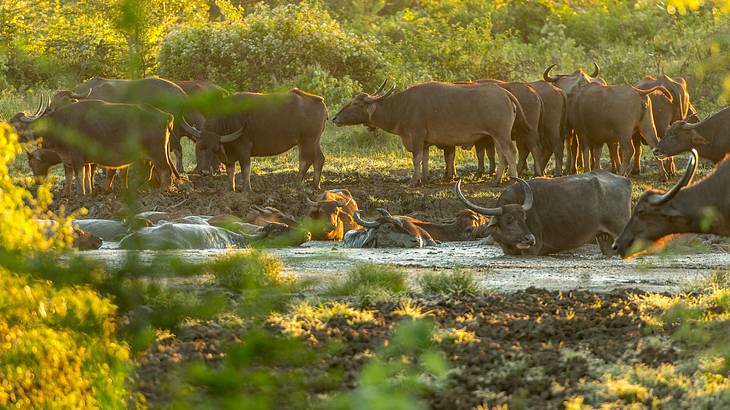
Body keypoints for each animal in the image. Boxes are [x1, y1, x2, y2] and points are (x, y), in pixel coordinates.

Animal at [11, 99, 178, 195]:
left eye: (16, 125)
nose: (37, 182)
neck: (61, 123)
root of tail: (166, 116)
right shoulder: (82, 160)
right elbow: (80, 176)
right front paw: (79, 193)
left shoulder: (77, 156)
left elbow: (79, 176)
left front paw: (81, 195)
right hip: (150, 156)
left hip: (157, 153)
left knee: (166, 170)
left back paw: (162, 191)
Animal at [181, 87, 326, 192]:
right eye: (199, 146)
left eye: (214, 149)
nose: (204, 172)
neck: (227, 120)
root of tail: (318, 101)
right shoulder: (229, 154)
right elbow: (230, 171)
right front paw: (230, 189)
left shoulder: (244, 148)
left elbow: (245, 169)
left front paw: (247, 190)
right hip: (314, 141)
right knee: (319, 159)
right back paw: (315, 186)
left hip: (307, 141)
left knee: (305, 160)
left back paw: (296, 184)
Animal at [332, 80, 528, 186]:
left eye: (355, 103)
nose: (335, 118)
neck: (401, 107)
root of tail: (505, 94)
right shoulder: (425, 142)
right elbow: (425, 159)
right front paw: (424, 179)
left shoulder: (417, 135)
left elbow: (416, 159)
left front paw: (413, 182)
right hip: (496, 135)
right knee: (502, 154)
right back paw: (496, 180)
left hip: (501, 133)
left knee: (511, 152)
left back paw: (513, 180)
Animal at [456, 171, 632, 255]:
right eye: (509, 219)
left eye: (524, 217)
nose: (530, 239)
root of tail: (625, 180)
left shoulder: (532, 251)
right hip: (604, 238)